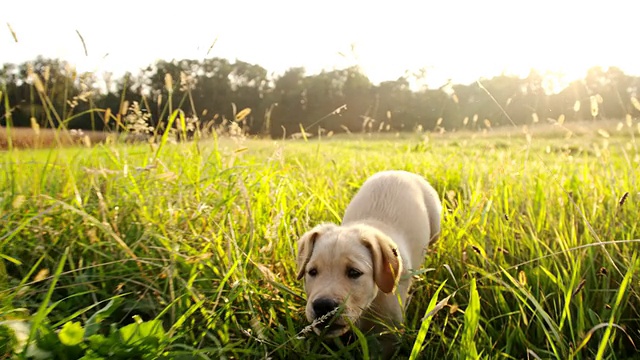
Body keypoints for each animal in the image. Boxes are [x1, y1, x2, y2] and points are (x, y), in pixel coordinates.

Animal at [298, 170, 442, 338]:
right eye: (312, 272)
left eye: (354, 272)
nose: (323, 306)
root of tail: (400, 171)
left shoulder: (390, 329)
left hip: (435, 226)